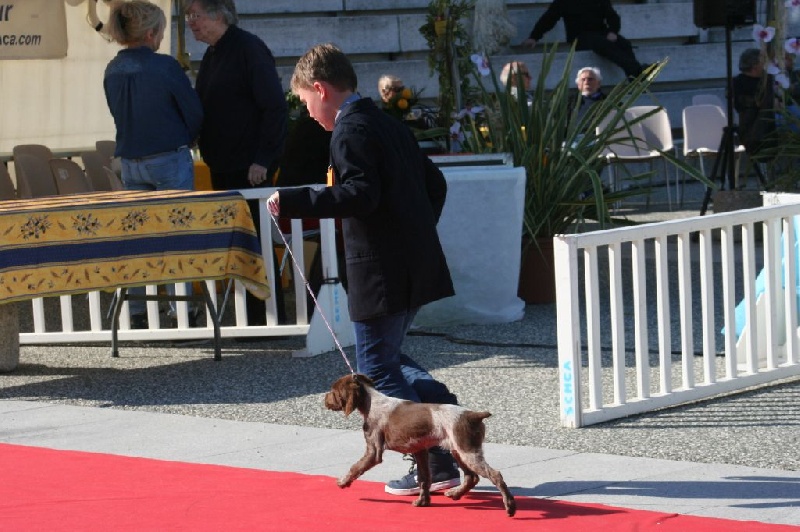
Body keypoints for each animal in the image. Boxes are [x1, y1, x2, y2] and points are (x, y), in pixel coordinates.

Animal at [322, 374, 516, 516]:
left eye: (333, 391)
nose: (324, 400)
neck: (371, 401)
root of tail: (473, 415)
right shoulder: (420, 450)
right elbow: (424, 479)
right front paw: (423, 502)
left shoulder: (373, 451)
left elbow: (356, 466)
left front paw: (343, 481)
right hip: (459, 450)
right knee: (472, 477)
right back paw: (455, 494)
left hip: (467, 451)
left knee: (495, 475)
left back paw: (510, 506)